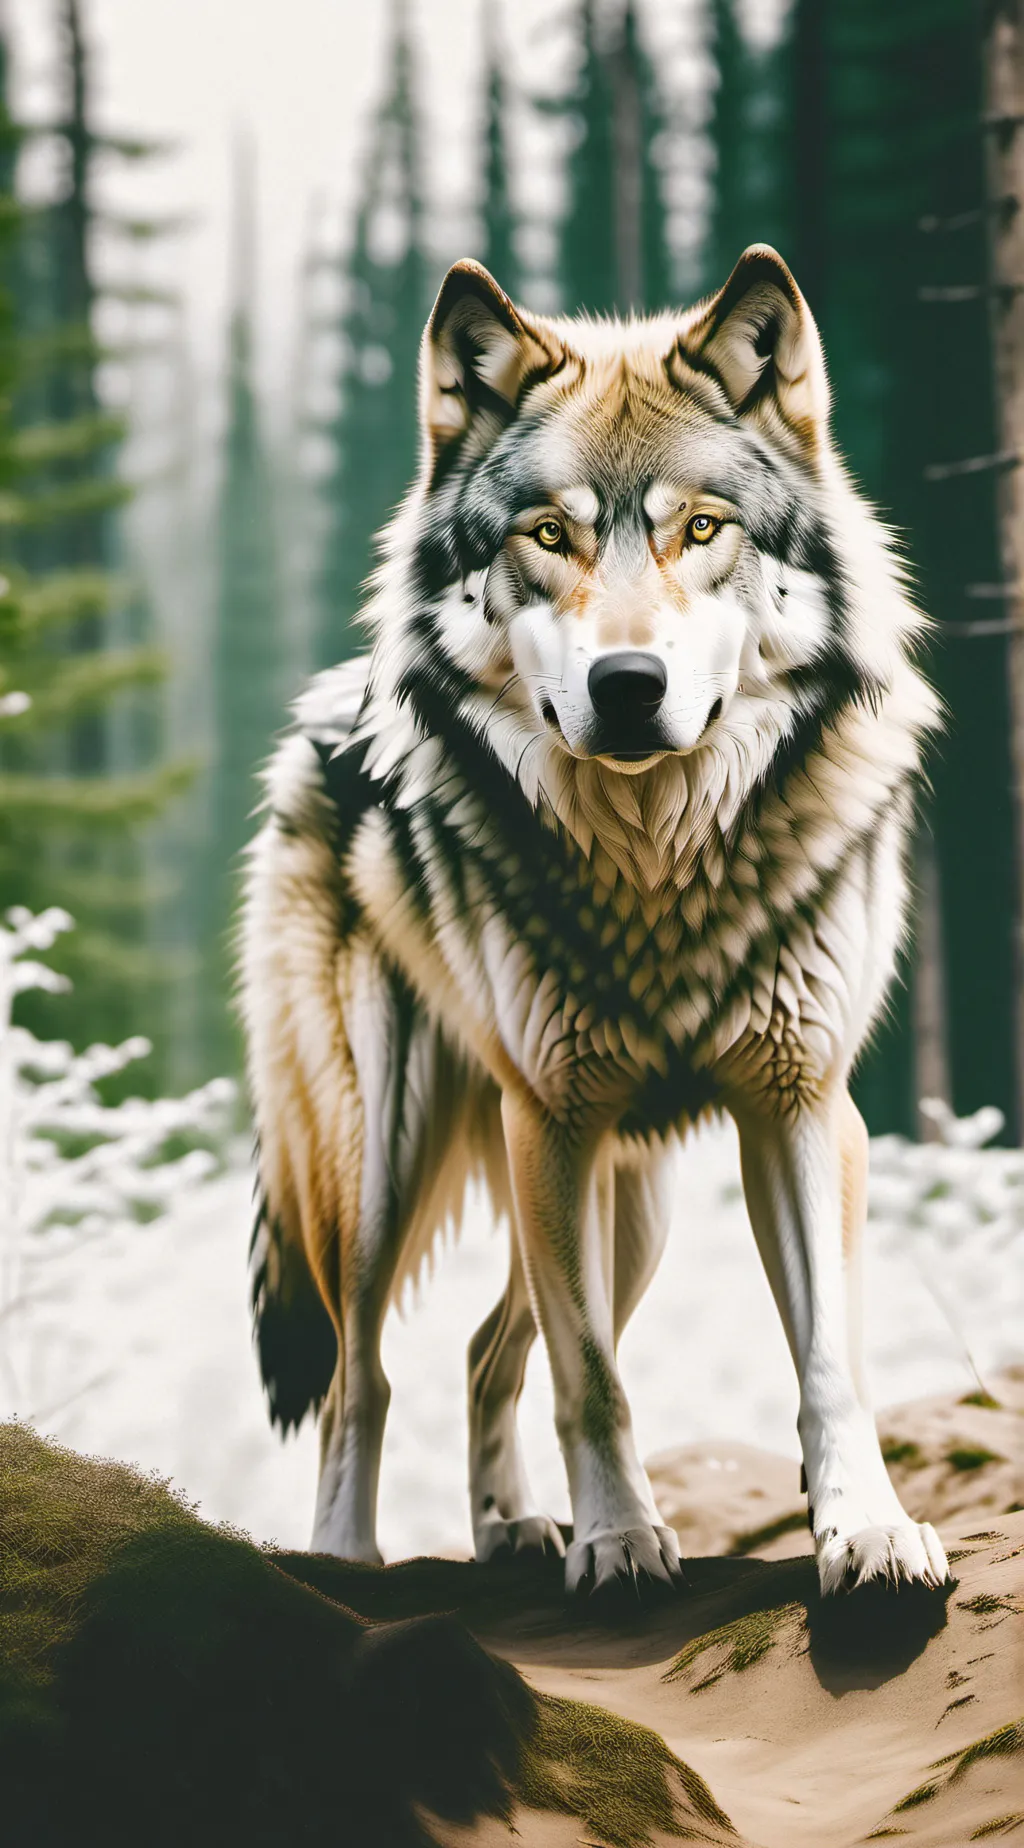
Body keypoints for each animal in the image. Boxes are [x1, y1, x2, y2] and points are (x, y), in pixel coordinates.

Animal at [240, 246, 950, 1598]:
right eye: (549, 535)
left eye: (702, 529)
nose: (628, 686)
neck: (658, 866)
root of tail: (322, 706)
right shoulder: (550, 1120)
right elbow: (595, 1383)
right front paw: (620, 1541)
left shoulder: (801, 1108)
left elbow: (829, 1364)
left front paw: (868, 1531)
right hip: (384, 1165)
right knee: (367, 1373)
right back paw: (349, 1563)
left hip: (634, 1206)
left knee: (482, 1350)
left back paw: (512, 1530)